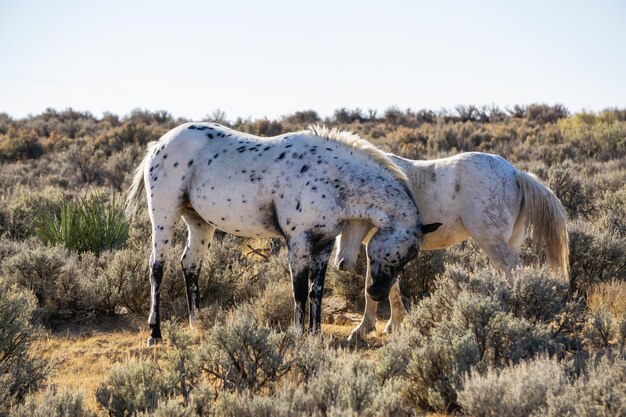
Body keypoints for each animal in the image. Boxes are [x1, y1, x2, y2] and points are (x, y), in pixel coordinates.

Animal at [125, 122, 438, 344]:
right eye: (405, 252)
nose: (376, 292)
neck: (331, 177)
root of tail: (158, 144)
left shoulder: (324, 243)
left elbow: (316, 291)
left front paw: (315, 333)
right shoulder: (298, 242)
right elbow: (298, 290)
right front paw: (299, 334)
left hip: (199, 223)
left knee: (190, 265)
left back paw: (197, 322)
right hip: (164, 216)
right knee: (157, 267)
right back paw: (155, 333)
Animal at [336, 151, 572, 340]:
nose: (341, 261)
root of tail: (516, 173)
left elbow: (376, 283)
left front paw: (363, 328)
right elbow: (388, 284)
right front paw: (391, 324)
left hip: (494, 245)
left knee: (513, 275)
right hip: (510, 244)